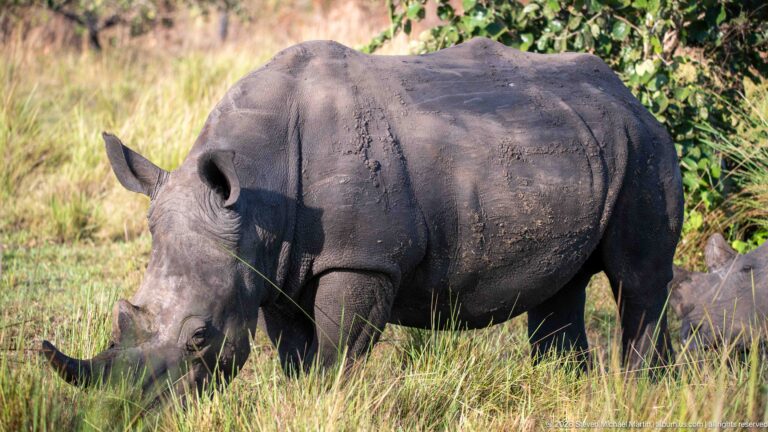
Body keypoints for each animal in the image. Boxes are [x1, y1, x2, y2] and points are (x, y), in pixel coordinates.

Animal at [41, 38, 683, 401]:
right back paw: (570, 390)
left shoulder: (362, 259)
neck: (255, 194)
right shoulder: (275, 264)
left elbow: (337, 351)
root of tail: (631, 95)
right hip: (581, 144)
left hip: (647, 150)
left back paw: (641, 394)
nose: (126, 408)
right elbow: (294, 353)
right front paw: (300, 404)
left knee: (638, 282)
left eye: (201, 337)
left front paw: (327, 407)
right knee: (560, 291)